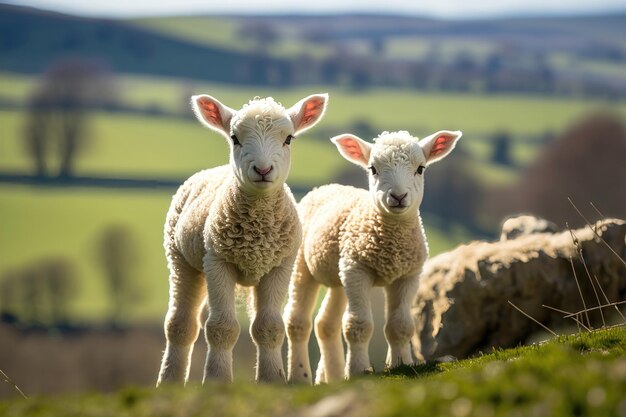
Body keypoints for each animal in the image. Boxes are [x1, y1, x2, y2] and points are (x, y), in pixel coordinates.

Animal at [155, 92, 326, 386]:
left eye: (288, 139)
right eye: (234, 138)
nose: (263, 169)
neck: (256, 229)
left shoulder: (280, 266)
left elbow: (270, 327)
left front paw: (272, 380)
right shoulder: (217, 261)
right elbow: (221, 327)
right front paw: (216, 380)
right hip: (181, 259)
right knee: (181, 325)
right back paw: (169, 381)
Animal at [282, 128, 458, 382]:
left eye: (420, 168)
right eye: (373, 169)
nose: (398, 196)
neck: (392, 243)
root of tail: (323, 187)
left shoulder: (408, 274)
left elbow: (401, 325)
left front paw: (401, 364)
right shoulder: (357, 269)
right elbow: (358, 325)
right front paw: (358, 370)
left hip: (339, 272)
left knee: (326, 323)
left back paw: (333, 376)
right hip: (303, 265)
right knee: (297, 320)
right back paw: (299, 376)